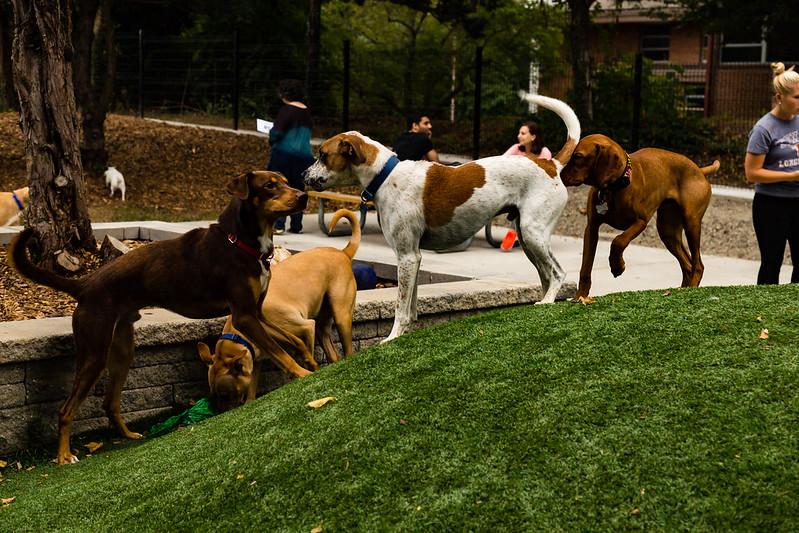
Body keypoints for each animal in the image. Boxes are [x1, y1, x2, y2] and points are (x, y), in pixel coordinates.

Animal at [9, 170, 310, 462]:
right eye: (270, 185)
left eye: (285, 181)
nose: (304, 195)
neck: (239, 242)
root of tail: (84, 285)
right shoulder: (244, 316)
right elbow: (279, 351)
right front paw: (302, 373)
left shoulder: (257, 312)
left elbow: (291, 339)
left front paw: (311, 360)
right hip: (94, 353)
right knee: (66, 410)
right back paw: (64, 456)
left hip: (122, 349)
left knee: (109, 402)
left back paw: (129, 435)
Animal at [306, 91, 580, 340]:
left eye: (323, 155)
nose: (303, 175)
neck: (385, 175)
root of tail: (551, 164)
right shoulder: (413, 258)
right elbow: (411, 307)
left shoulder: (407, 256)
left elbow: (400, 308)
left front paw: (392, 338)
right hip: (526, 238)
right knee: (546, 275)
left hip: (534, 234)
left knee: (558, 273)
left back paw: (546, 302)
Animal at [560, 133, 720, 300]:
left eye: (578, 157)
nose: (559, 174)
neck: (615, 188)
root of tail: (699, 170)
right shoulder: (591, 228)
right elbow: (585, 268)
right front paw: (580, 297)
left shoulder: (640, 222)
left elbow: (618, 241)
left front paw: (617, 266)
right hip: (667, 230)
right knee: (688, 265)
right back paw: (682, 291)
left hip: (691, 223)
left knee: (698, 265)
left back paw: (692, 289)